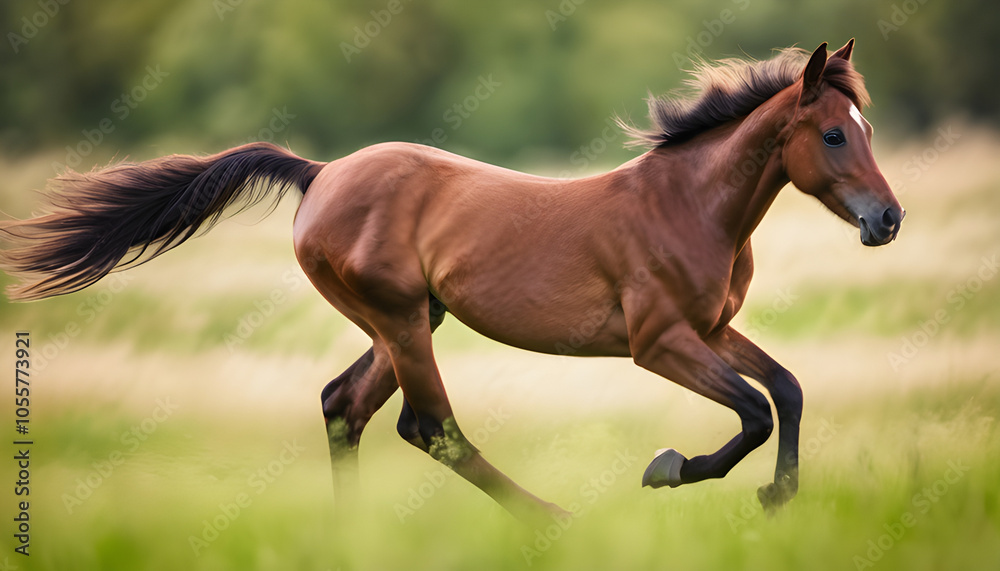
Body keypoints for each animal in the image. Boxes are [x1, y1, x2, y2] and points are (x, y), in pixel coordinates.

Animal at [0, 40, 902, 520]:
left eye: (865, 127)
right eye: (832, 134)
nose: (887, 220)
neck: (690, 206)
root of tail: (320, 173)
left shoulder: (711, 329)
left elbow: (786, 388)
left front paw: (777, 495)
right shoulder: (659, 342)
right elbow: (753, 409)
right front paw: (671, 467)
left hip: (409, 321)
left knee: (343, 405)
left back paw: (353, 534)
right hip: (401, 318)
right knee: (428, 426)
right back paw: (553, 520)